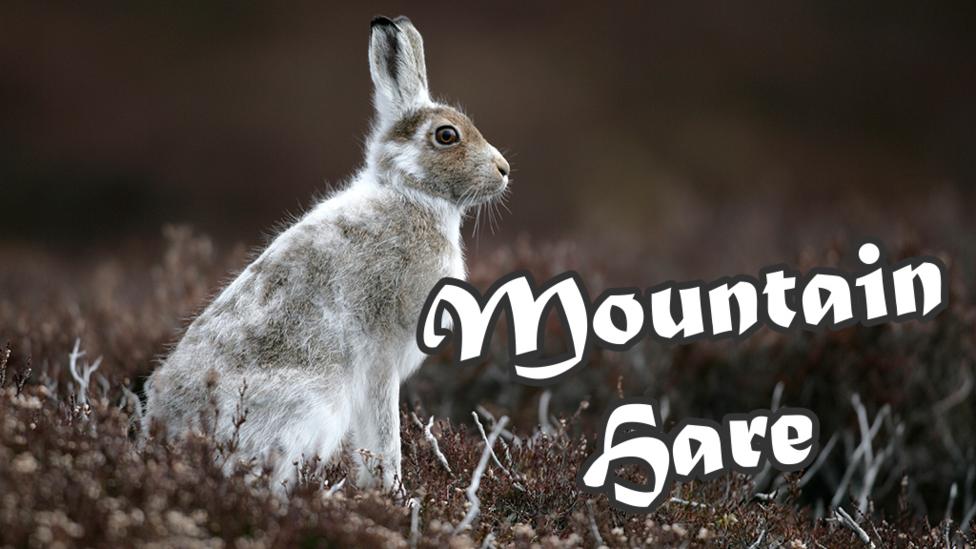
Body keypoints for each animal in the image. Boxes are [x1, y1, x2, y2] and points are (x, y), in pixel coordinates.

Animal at [142, 15, 510, 493]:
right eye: (446, 136)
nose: (504, 169)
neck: (409, 193)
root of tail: (169, 435)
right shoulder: (380, 358)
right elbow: (383, 433)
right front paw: (394, 493)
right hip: (312, 403)